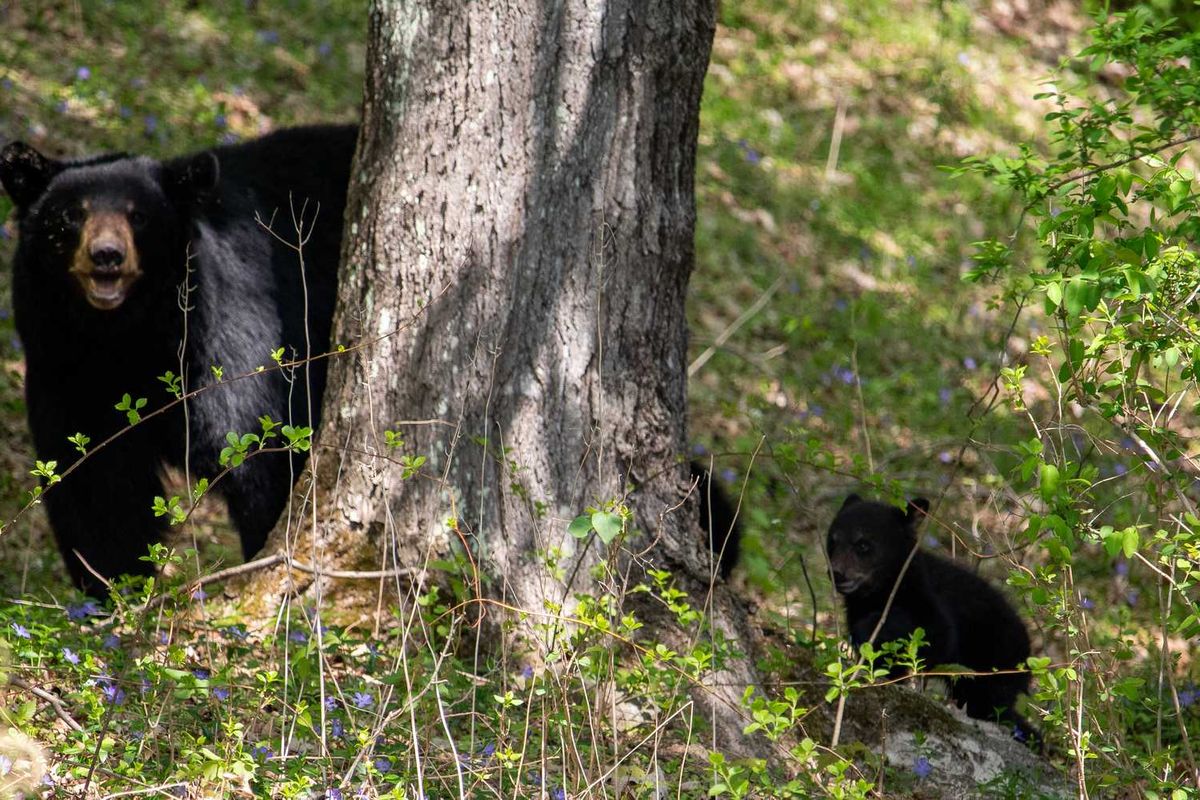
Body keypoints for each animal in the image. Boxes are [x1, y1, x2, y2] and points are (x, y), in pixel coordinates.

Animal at [0, 125, 358, 595]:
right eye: (72, 214)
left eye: (139, 216)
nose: (107, 255)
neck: (122, 337)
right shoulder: (64, 369)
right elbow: (96, 488)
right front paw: (113, 592)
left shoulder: (228, 339)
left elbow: (262, 453)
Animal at [826, 493, 1035, 741]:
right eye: (832, 541)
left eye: (863, 544)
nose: (836, 573)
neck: (879, 592)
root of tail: (1029, 651)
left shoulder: (926, 597)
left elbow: (938, 634)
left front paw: (871, 628)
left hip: (995, 661)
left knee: (991, 705)